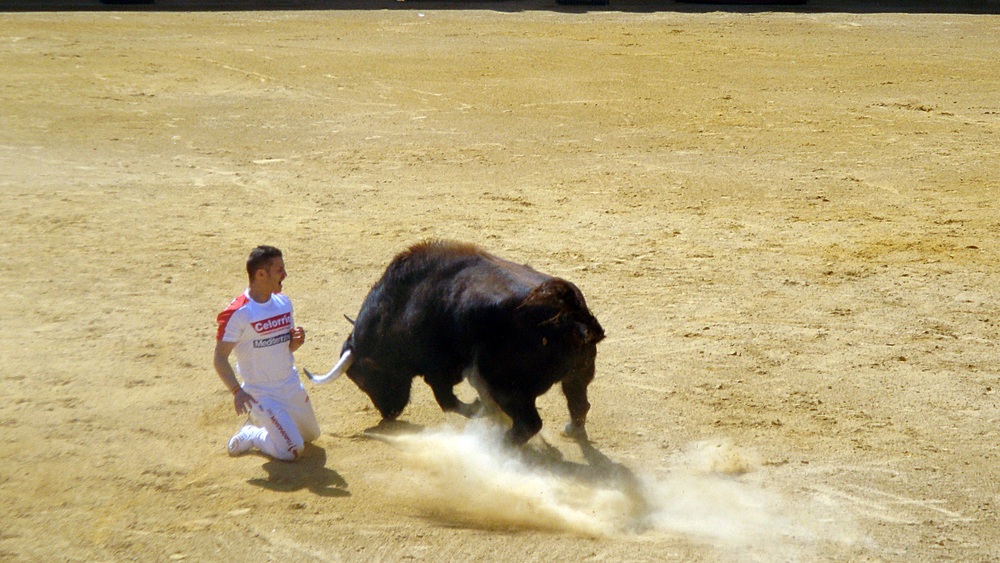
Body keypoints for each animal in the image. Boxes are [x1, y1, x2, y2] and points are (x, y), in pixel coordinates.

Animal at [304, 240, 600, 448]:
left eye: (363, 379)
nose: (388, 413)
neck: (404, 304)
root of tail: (570, 314)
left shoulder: (438, 373)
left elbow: (448, 402)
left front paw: (478, 410)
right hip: (577, 375)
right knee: (579, 404)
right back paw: (571, 430)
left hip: (509, 388)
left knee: (529, 424)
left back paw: (498, 446)